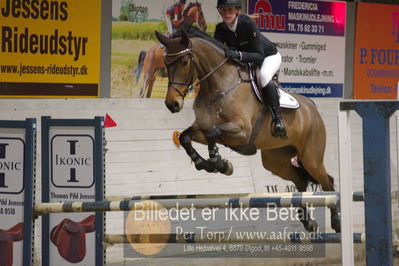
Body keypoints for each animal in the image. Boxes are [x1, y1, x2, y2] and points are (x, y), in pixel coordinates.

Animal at [155, 28, 342, 234]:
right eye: (165, 63)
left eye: (184, 62)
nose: (172, 104)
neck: (218, 85)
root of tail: (312, 107)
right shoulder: (201, 129)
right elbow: (185, 137)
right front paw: (206, 163)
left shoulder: (242, 132)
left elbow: (212, 133)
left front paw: (219, 163)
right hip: (275, 161)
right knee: (300, 181)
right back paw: (308, 222)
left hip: (311, 158)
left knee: (327, 181)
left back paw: (337, 222)